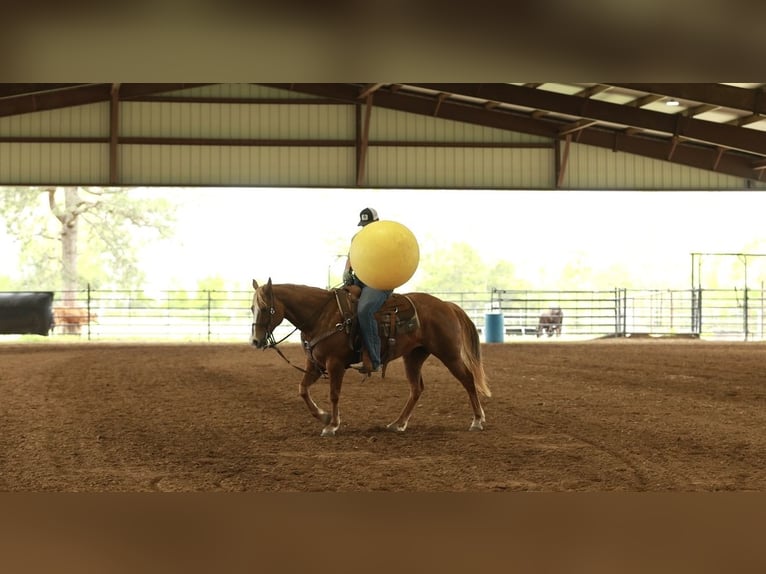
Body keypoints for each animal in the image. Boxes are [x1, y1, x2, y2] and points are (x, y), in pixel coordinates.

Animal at [250, 278, 490, 437]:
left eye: (266, 308)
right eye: (252, 307)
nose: (255, 341)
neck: (322, 317)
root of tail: (446, 305)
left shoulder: (335, 364)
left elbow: (334, 394)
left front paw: (332, 425)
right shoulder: (314, 364)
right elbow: (302, 389)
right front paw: (323, 416)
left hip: (449, 354)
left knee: (468, 380)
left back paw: (478, 420)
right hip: (413, 356)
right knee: (416, 389)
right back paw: (398, 423)